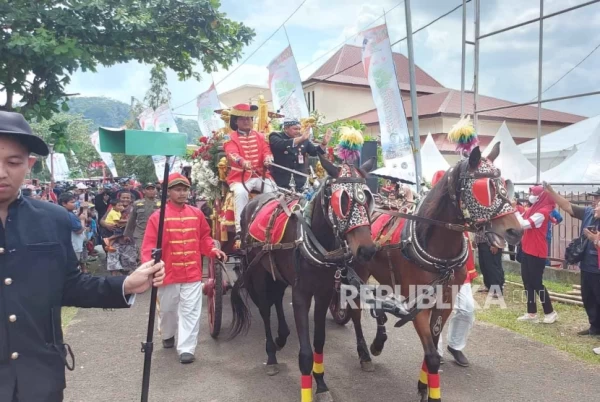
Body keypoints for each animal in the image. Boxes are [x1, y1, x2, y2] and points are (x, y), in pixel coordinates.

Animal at [231, 155, 378, 402]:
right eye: (342, 199)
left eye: (367, 197)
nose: (367, 251)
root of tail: (256, 199)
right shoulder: (302, 294)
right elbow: (306, 351)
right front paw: (310, 388)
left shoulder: (323, 293)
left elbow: (318, 341)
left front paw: (321, 383)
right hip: (258, 271)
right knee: (265, 308)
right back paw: (271, 354)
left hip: (277, 273)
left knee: (277, 298)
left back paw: (282, 336)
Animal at [346, 144, 524, 402]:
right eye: (483, 189)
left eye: (503, 184)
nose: (516, 231)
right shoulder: (418, 304)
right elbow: (431, 354)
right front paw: (431, 393)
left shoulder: (445, 301)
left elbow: (434, 344)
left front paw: (424, 386)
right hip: (358, 271)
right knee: (356, 311)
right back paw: (365, 353)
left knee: (378, 305)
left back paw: (378, 340)